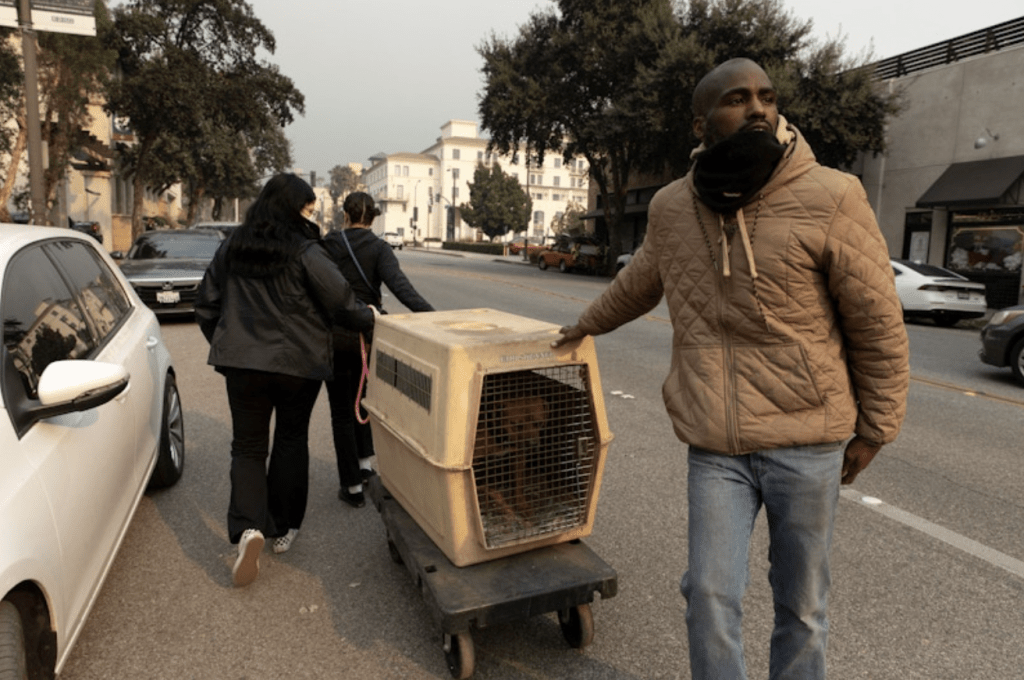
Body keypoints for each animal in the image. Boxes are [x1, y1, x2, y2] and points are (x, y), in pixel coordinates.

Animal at [468, 364, 598, 548]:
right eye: (516, 425)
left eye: (538, 423)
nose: (532, 444)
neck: (500, 436)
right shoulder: (477, 467)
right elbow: (496, 494)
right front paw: (507, 511)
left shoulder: (518, 455)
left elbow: (518, 485)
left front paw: (522, 506)